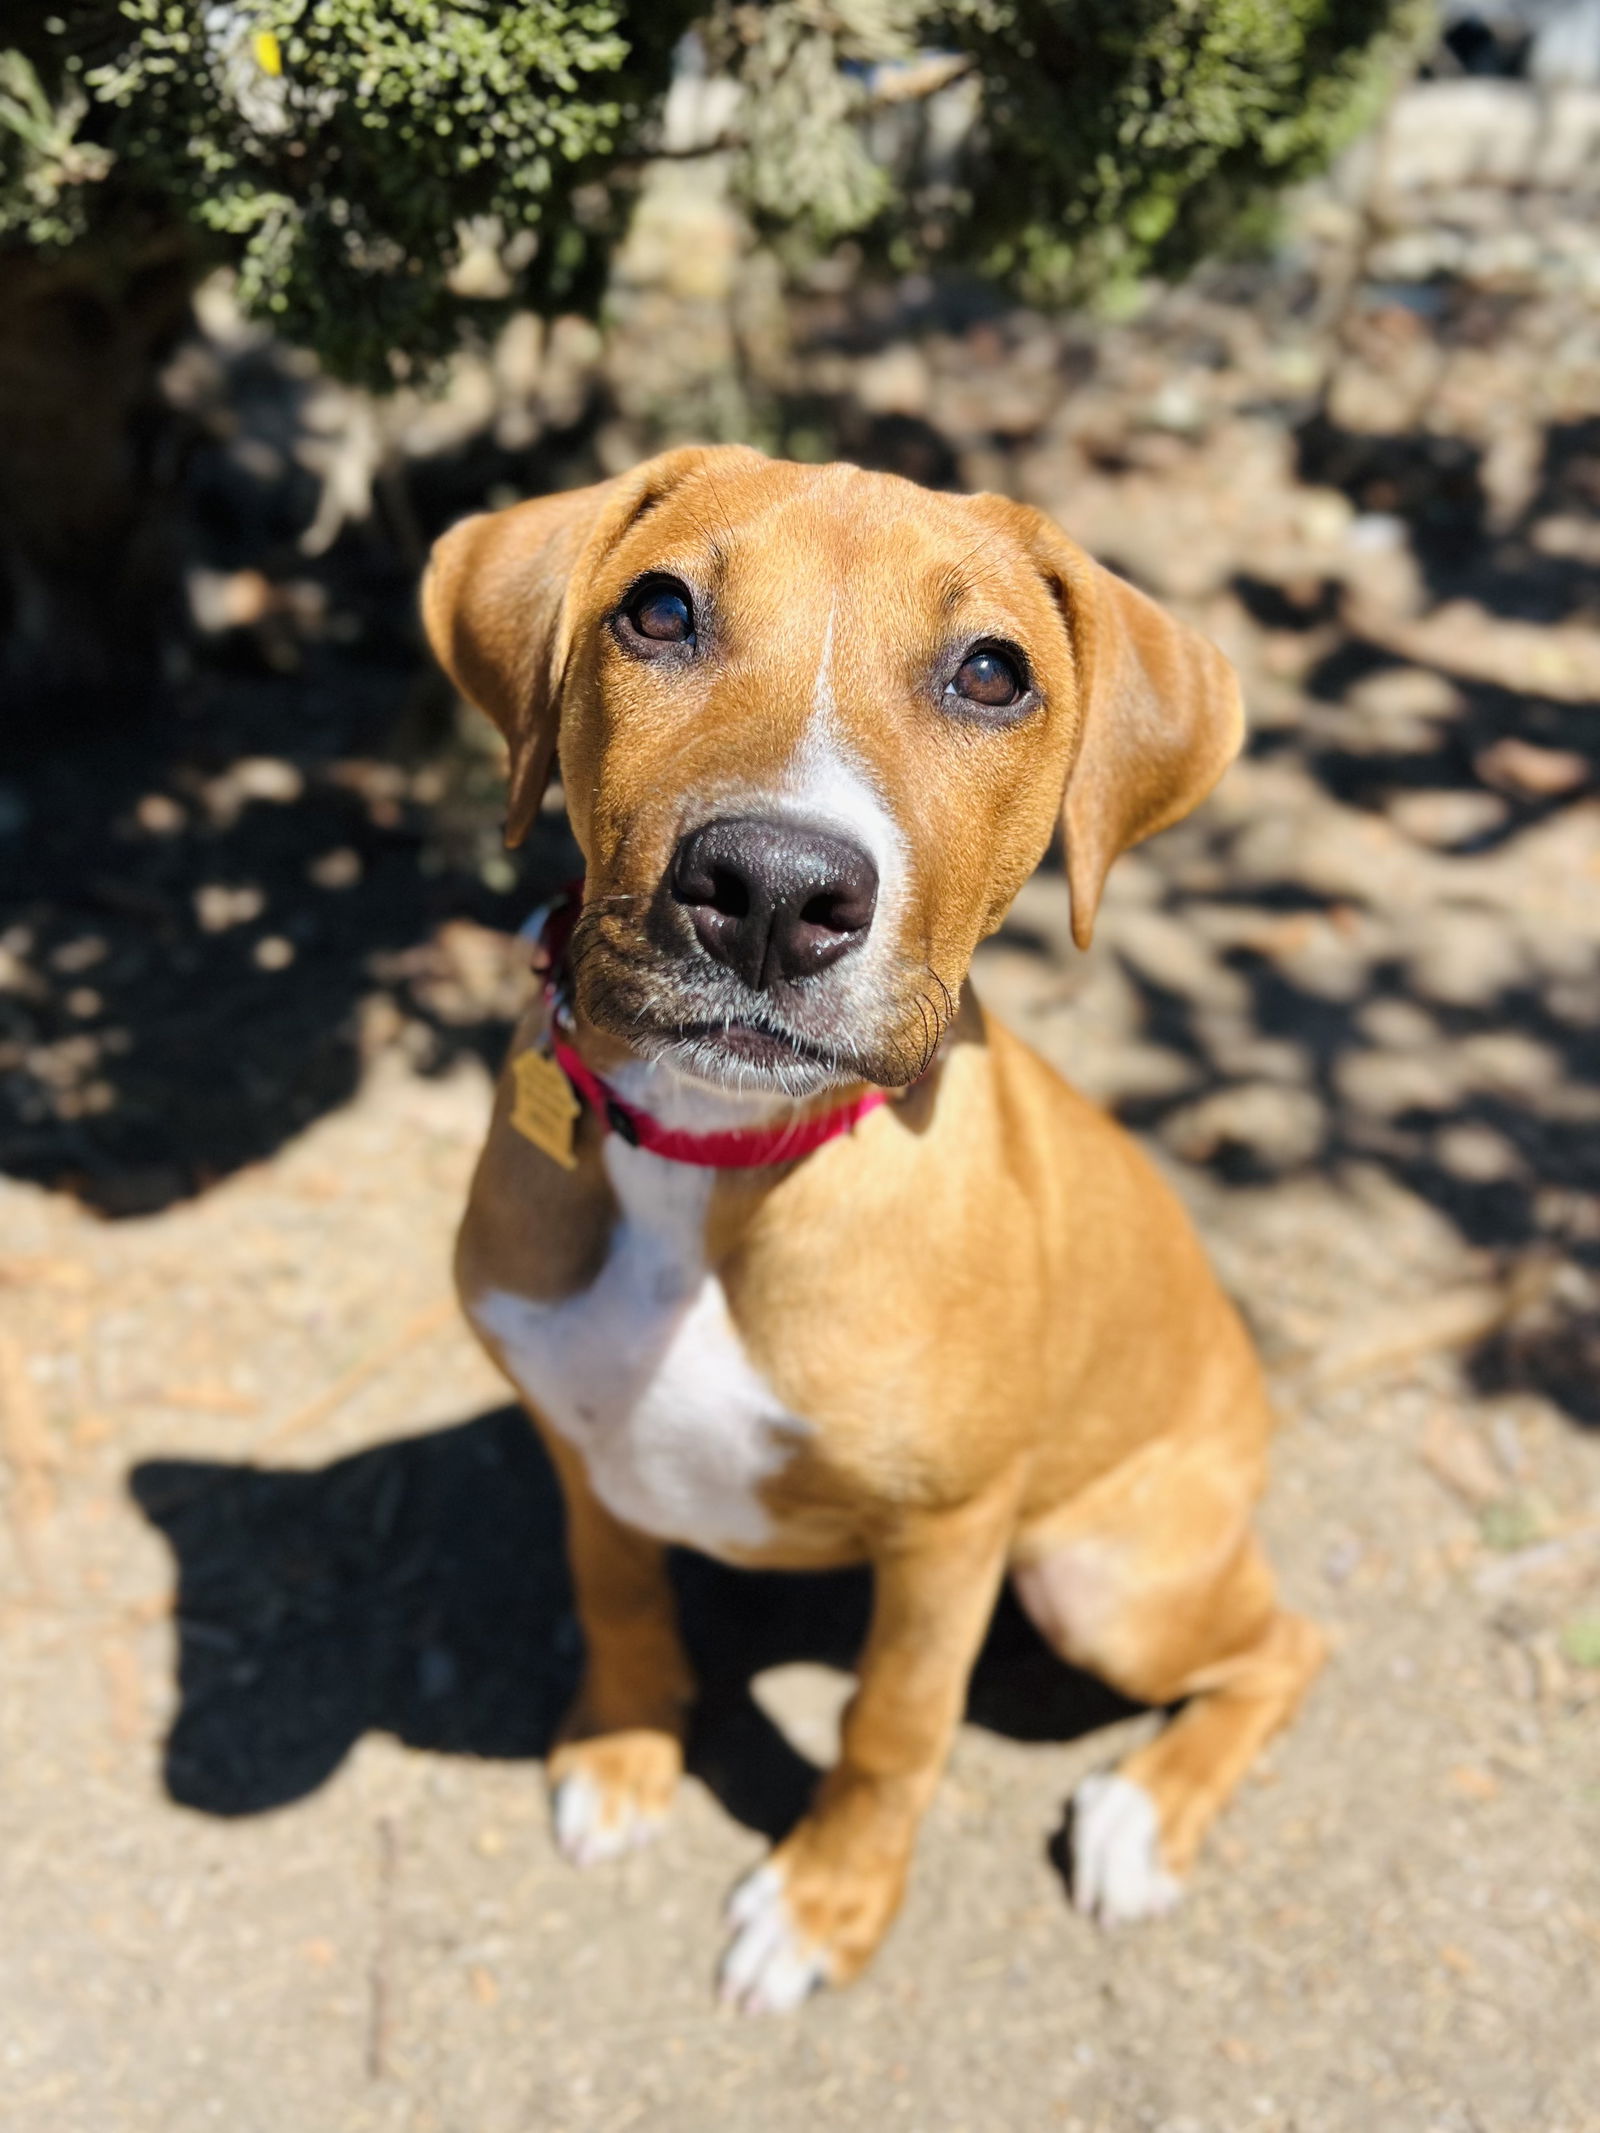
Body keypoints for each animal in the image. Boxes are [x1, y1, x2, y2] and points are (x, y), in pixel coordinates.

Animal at [426, 445, 1331, 2013]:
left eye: (991, 673)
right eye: (657, 610)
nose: (773, 890)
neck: (717, 1160)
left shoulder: (950, 1535)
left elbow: (891, 1725)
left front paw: (826, 1902)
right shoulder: (575, 1432)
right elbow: (615, 1588)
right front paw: (622, 1748)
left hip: (1098, 1574)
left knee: (1286, 1639)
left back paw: (1144, 1813)